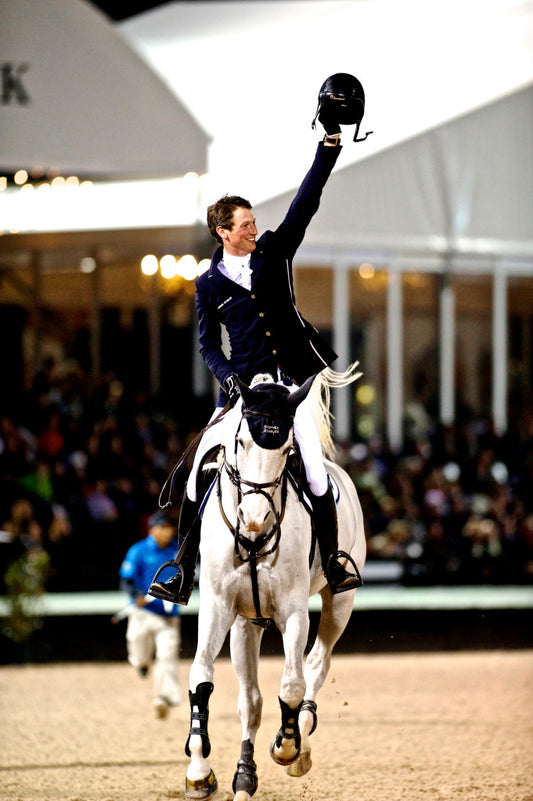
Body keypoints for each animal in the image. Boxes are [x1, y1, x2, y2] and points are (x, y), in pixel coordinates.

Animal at [184, 372, 366, 796]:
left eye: (287, 450)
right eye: (240, 443)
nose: (253, 518)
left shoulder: (293, 611)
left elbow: (293, 686)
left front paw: (287, 747)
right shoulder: (219, 607)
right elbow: (201, 677)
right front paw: (200, 771)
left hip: (341, 601)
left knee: (315, 663)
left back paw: (301, 742)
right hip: (245, 624)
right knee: (250, 700)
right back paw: (244, 777)